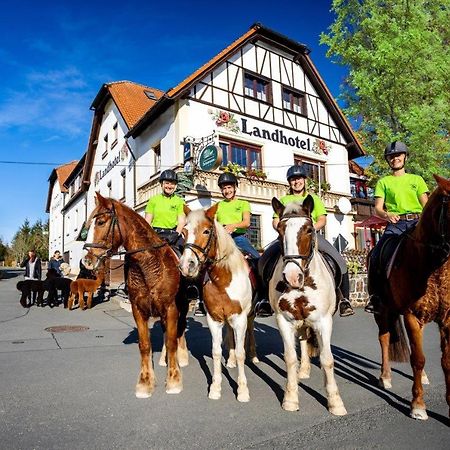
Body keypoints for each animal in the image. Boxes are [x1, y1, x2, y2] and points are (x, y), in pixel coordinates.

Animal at [84, 192, 188, 396]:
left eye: (100, 222)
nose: (87, 260)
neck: (148, 265)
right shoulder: (138, 309)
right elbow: (145, 345)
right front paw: (145, 382)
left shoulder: (171, 308)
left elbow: (172, 341)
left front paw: (174, 380)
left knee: (179, 329)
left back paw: (182, 357)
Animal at [178, 204, 256, 400]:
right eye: (184, 231)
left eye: (206, 231)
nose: (186, 265)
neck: (223, 279)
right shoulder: (215, 319)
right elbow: (216, 351)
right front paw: (215, 387)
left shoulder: (240, 319)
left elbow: (242, 353)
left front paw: (243, 390)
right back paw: (231, 360)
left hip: (249, 315)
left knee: (250, 330)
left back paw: (254, 355)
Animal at [268, 197, 348, 414]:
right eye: (279, 230)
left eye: (309, 229)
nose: (292, 276)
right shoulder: (284, 321)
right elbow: (290, 358)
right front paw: (290, 398)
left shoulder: (323, 321)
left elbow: (327, 359)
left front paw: (335, 403)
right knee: (303, 339)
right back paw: (303, 370)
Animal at [372, 174, 450, 420]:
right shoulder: (412, 316)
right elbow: (418, 359)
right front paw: (418, 405)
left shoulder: (447, 319)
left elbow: (446, 360)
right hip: (382, 311)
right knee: (385, 339)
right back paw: (385, 376)